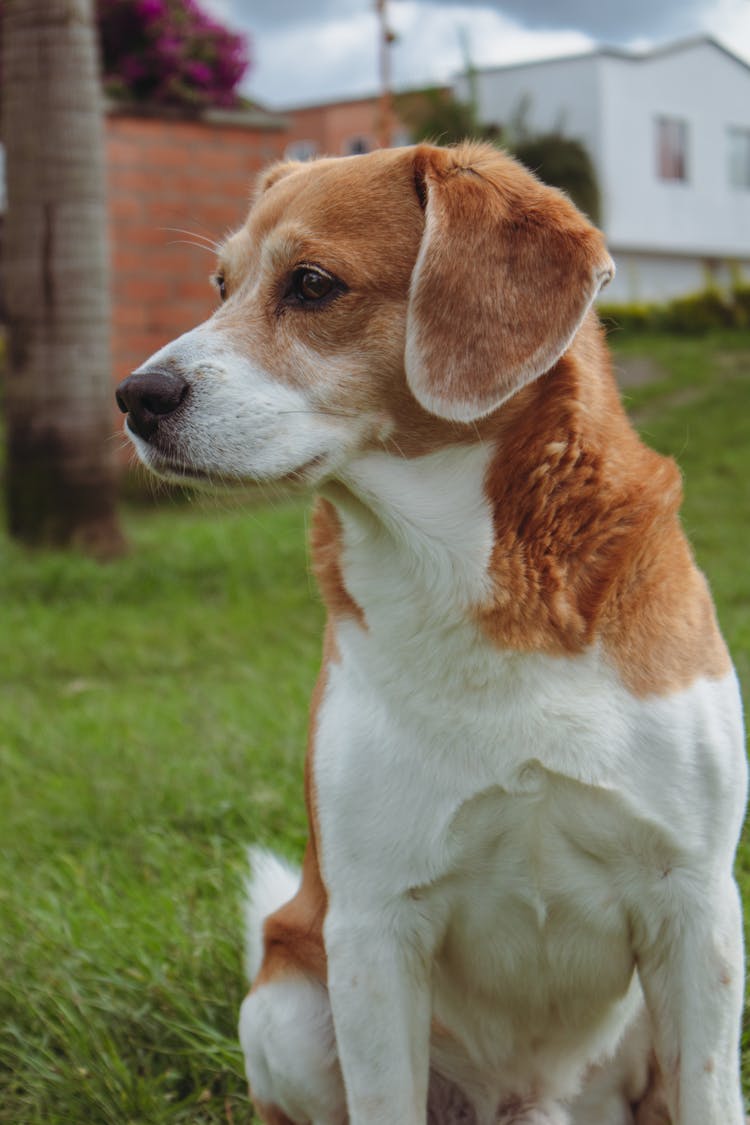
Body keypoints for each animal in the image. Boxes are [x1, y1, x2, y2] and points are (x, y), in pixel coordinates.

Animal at [115, 142, 746, 1125]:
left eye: (310, 284)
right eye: (220, 285)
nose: (134, 397)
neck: (473, 576)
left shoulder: (698, 908)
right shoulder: (374, 929)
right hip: (287, 1001)